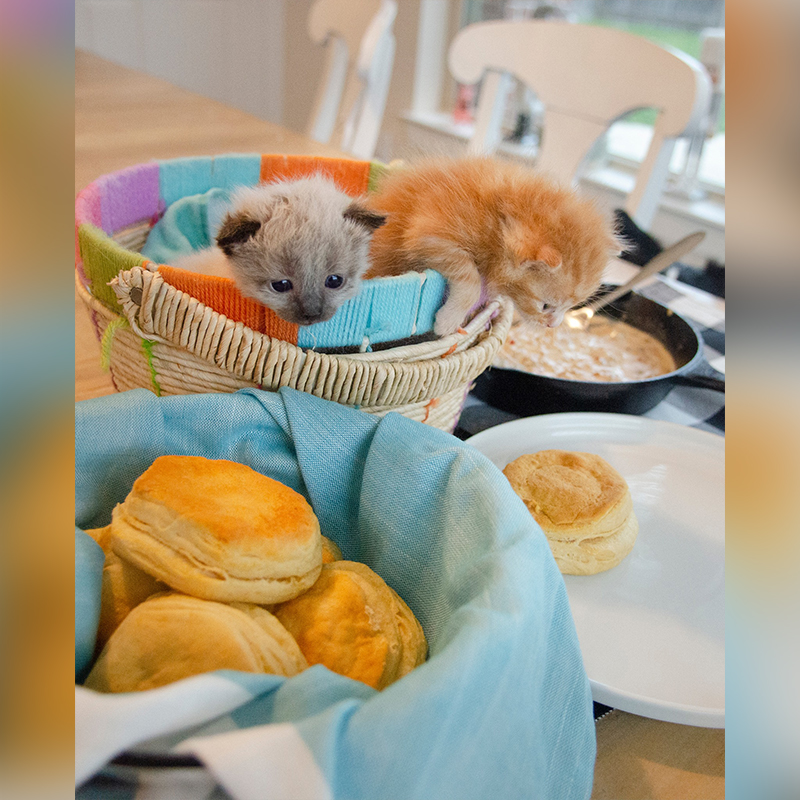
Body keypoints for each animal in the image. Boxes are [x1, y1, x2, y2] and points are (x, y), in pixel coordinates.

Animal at [366, 156, 620, 334]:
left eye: (570, 308)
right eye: (546, 306)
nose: (553, 326)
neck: (498, 218)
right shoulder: (427, 234)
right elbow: (471, 279)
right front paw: (448, 321)